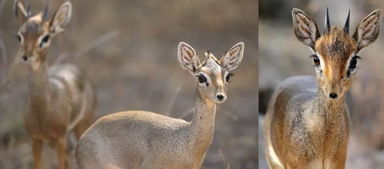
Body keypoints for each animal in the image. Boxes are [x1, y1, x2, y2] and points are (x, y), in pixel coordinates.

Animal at [14, 0, 97, 168]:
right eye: (20, 36)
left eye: (46, 37)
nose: (26, 56)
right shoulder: (36, 139)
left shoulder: (60, 137)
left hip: (82, 125)